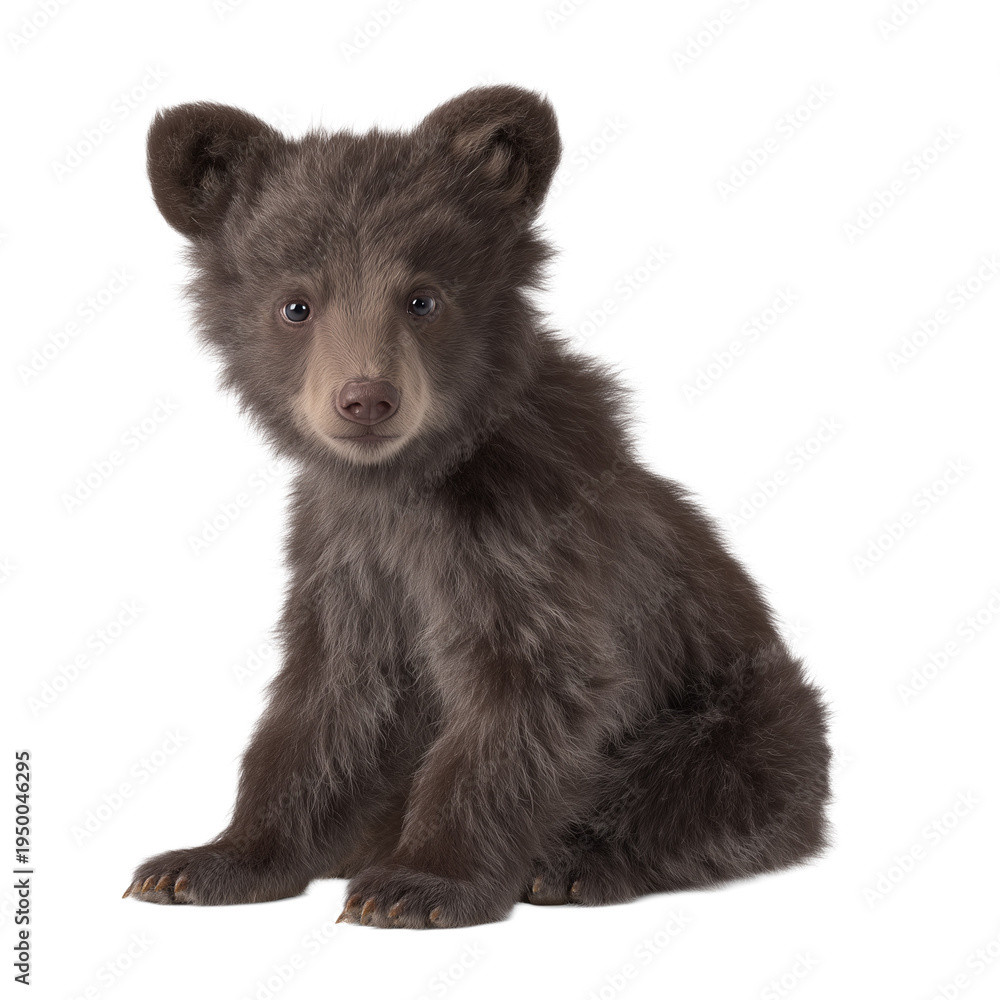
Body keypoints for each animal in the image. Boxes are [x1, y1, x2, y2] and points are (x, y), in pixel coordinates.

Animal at [122, 85, 832, 929]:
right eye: (296, 305)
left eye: (423, 298)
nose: (366, 398)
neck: (407, 485)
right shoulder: (346, 556)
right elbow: (325, 703)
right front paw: (203, 863)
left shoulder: (521, 541)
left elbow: (521, 695)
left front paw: (418, 884)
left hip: (738, 709)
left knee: (704, 781)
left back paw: (571, 862)